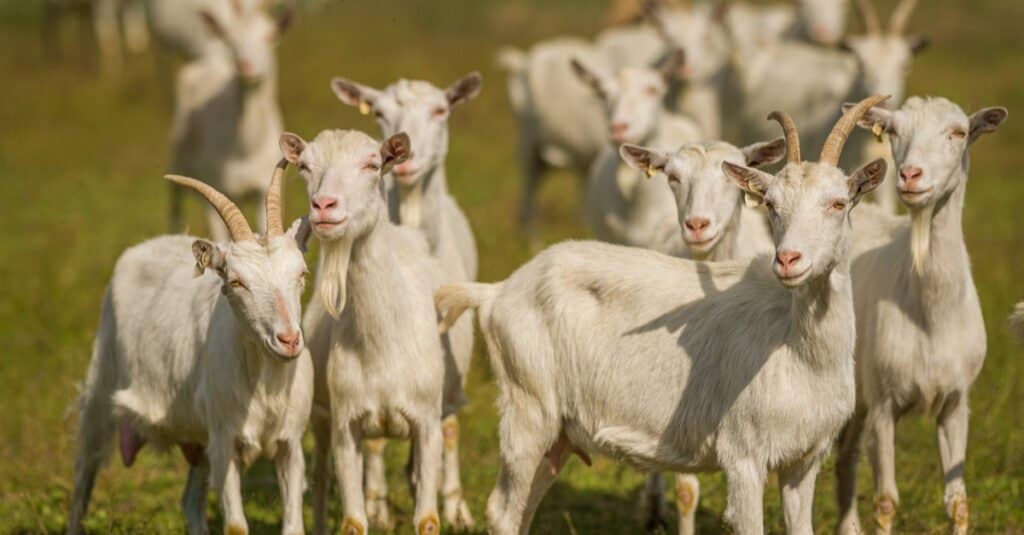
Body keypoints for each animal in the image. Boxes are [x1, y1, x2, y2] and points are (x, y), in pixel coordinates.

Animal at [67, 161, 311, 532]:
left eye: (302, 274)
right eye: (235, 282)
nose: (288, 340)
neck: (266, 387)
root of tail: (149, 244)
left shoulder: (290, 446)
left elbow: (293, 524)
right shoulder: (224, 443)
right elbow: (236, 525)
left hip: (198, 439)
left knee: (190, 502)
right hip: (102, 379)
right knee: (85, 466)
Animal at [165, 0, 290, 241]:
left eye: (270, 36)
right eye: (231, 39)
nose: (245, 66)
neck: (246, 148)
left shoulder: (262, 183)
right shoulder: (222, 185)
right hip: (178, 158)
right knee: (175, 204)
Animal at [286, 129, 473, 532]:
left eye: (373, 164)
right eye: (305, 166)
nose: (324, 205)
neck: (383, 343)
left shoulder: (426, 422)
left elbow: (427, 518)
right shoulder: (346, 422)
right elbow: (353, 520)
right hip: (321, 415)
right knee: (321, 475)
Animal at [329, 72, 485, 524]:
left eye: (441, 110)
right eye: (379, 112)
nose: (405, 160)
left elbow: (442, 430)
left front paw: (446, 501)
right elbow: (373, 442)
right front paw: (377, 506)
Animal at [436, 95, 892, 532]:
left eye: (839, 203)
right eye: (771, 204)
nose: (788, 260)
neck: (798, 348)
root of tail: (498, 292)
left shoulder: (804, 460)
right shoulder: (744, 456)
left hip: (559, 432)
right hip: (528, 405)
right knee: (502, 510)